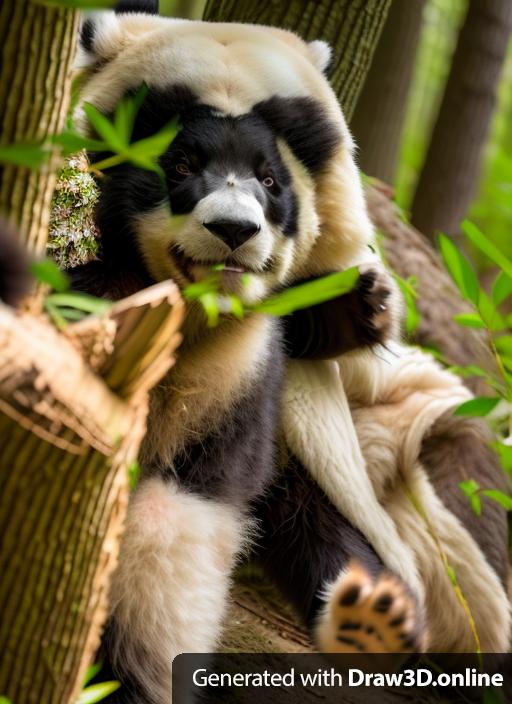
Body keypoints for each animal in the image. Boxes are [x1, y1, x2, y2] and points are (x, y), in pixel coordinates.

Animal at [71, 3, 510, 701]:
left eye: (270, 177)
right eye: (179, 164)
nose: (233, 230)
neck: (197, 312)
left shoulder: (247, 359)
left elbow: (194, 495)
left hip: (421, 452)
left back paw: (377, 616)